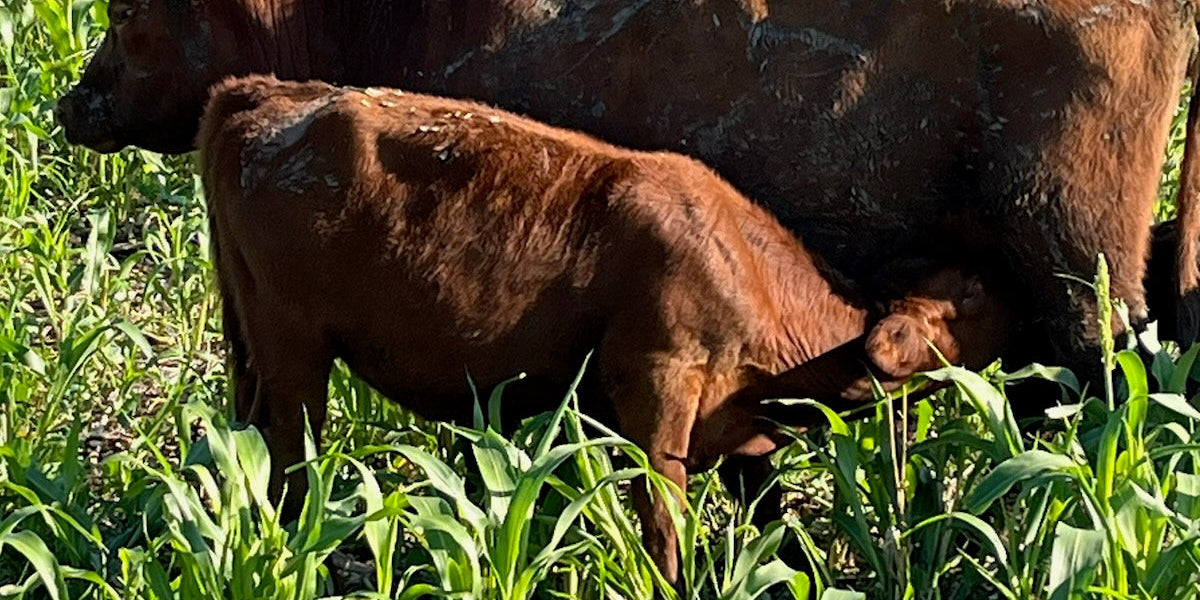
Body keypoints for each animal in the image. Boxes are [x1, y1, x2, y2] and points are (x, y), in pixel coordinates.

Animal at [199, 75, 1014, 586]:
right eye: (976, 297)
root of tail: (267, 91)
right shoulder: (657, 386)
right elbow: (663, 521)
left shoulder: (741, 433)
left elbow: (774, 524)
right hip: (292, 347)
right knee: (291, 460)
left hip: (247, 339)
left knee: (247, 443)